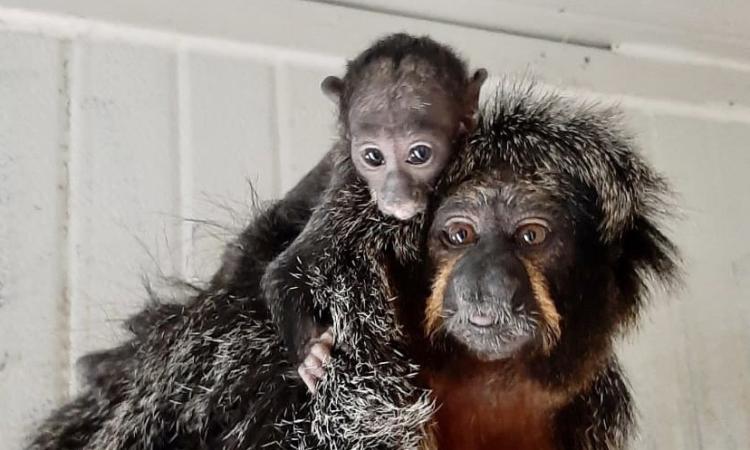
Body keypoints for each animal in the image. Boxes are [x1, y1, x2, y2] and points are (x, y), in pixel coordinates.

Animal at [262, 32, 487, 395]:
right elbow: (286, 270)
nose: (396, 194)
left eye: (419, 154)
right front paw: (310, 354)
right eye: (373, 157)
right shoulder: (346, 189)